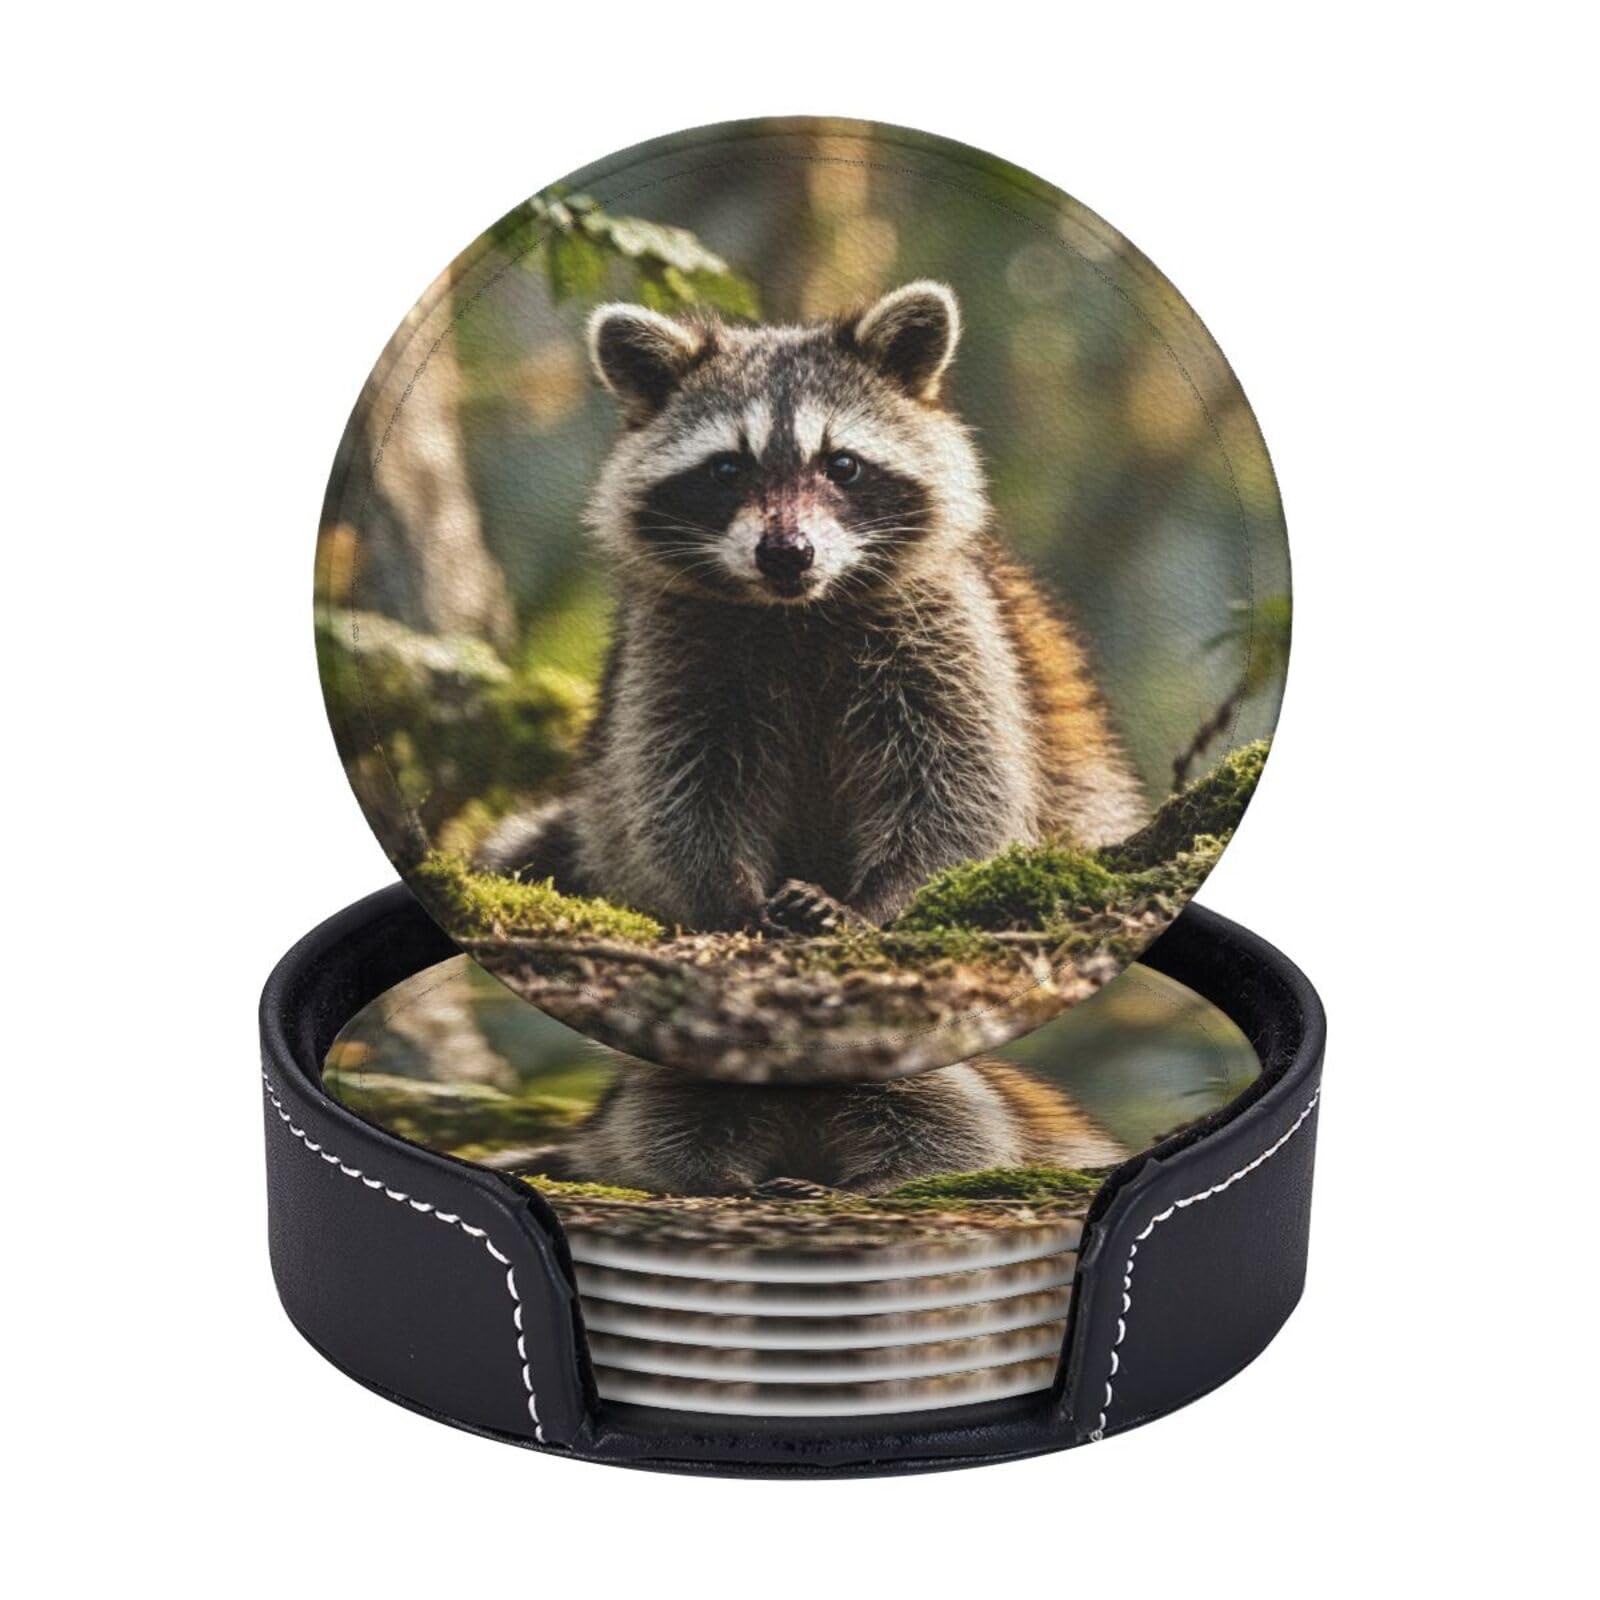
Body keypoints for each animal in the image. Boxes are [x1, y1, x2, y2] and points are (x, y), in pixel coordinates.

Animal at [480, 281, 1145, 932]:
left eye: (842, 465)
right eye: (727, 468)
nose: (786, 555)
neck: (797, 614)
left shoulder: (947, 626)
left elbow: (962, 786)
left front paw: (878, 900)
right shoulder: (676, 642)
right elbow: (677, 787)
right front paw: (728, 895)